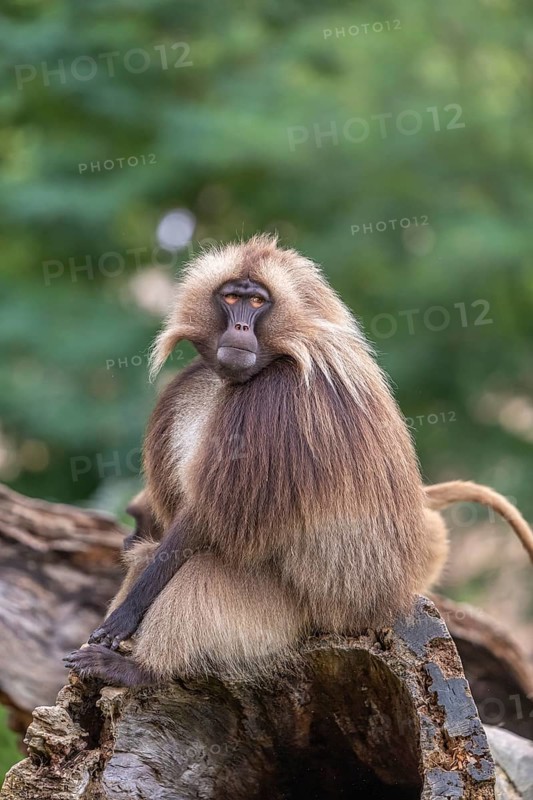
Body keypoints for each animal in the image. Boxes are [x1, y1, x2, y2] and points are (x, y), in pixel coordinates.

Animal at [64, 235, 533, 687]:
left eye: (257, 302)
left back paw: (143, 671)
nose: (239, 326)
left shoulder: (276, 401)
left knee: (205, 564)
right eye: (231, 297)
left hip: (313, 615)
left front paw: (123, 620)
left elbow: (209, 519)